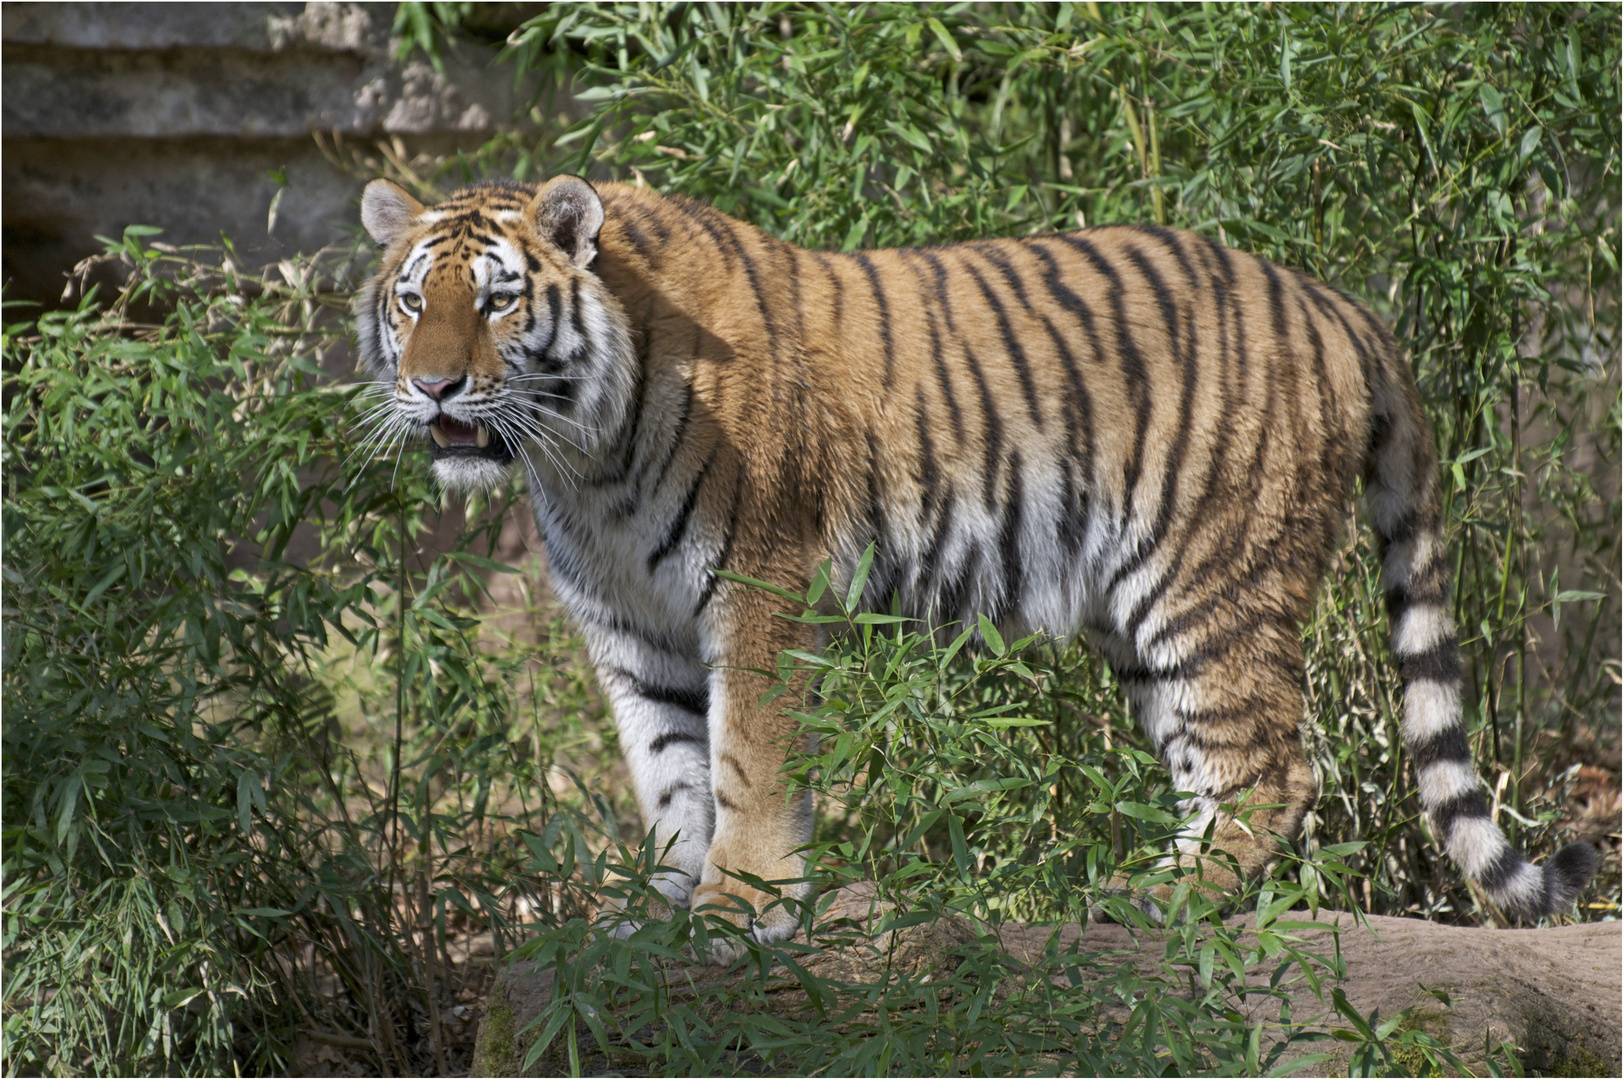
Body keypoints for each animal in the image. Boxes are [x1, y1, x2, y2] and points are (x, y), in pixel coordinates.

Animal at [352, 170, 1598, 954]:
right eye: (412, 301)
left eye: (498, 302)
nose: (434, 386)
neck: (581, 460)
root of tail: (1336, 299)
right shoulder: (631, 627)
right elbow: (669, 777)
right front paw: (656, 913)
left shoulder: (759, 593)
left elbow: (744, 761)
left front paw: (738, 911)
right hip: (1135, 614)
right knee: (1213, 767)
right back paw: (1142, 896)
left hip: (1207, 579)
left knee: (1273, 767)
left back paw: (1163, 904)